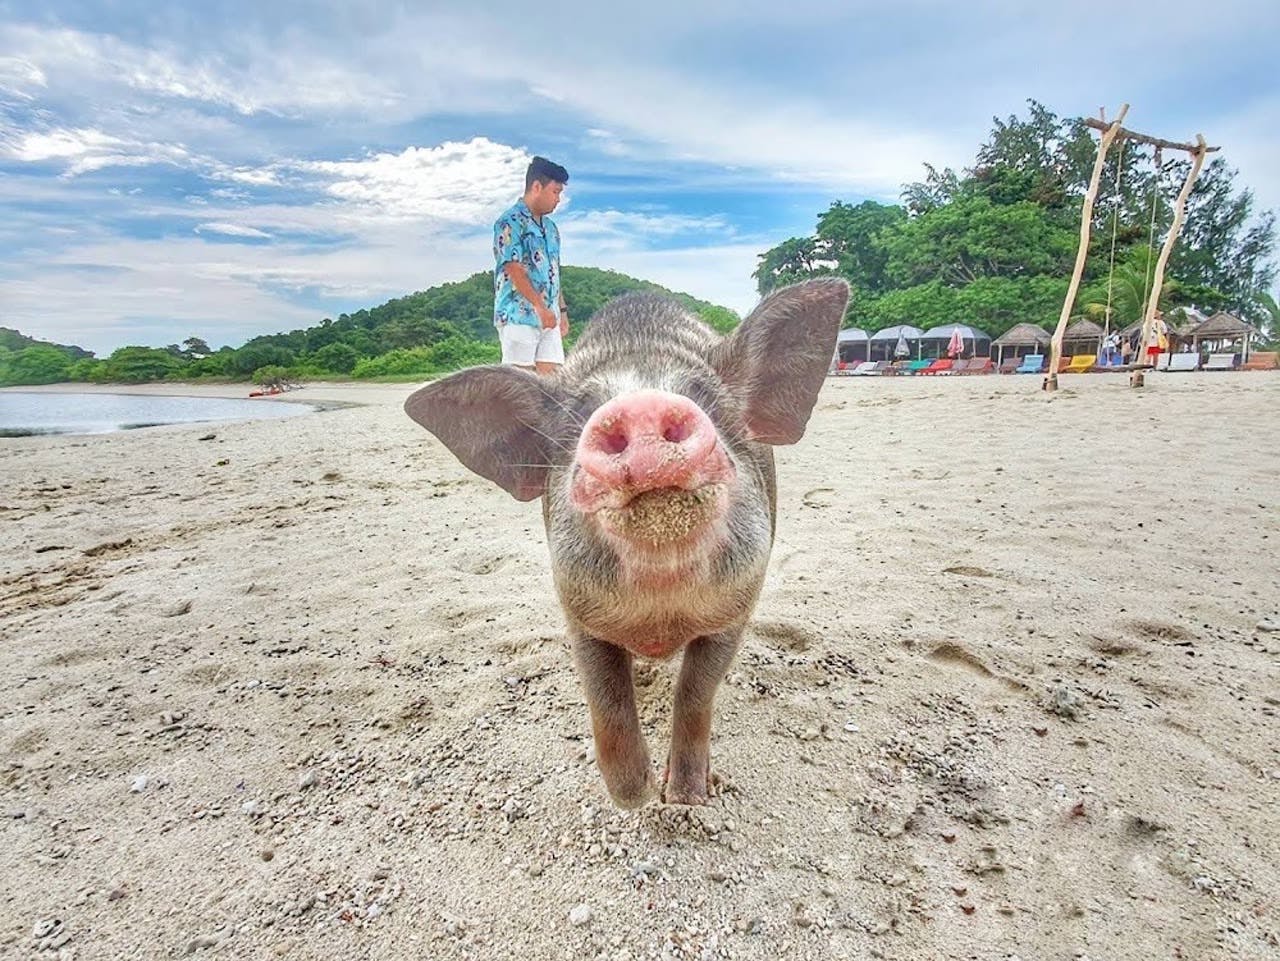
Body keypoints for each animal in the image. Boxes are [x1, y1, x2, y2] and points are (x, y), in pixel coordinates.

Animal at [403, 277, 849, 808]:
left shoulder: (735, 609)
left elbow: (696, 693)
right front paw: (635, 797)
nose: (643, 406)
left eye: (706, 398)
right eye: (577, 417)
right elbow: (607, 699)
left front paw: (686, 797)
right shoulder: (578, 611)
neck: (660, 611)